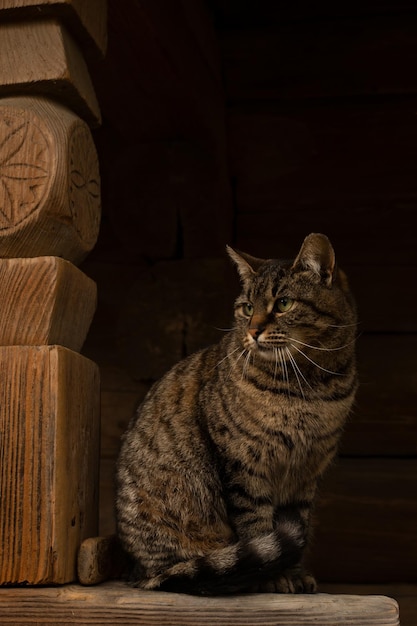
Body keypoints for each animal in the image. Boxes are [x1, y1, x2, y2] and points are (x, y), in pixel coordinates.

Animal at [115, 232, 356, 592]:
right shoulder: (243, 464)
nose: (252, 331)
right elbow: (257, 525)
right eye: (247, 308)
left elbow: (297, 525)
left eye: (283, 304)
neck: (309, 385)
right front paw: (274, 577)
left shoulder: (306, 472)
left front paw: (295, 573)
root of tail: (137, 573)